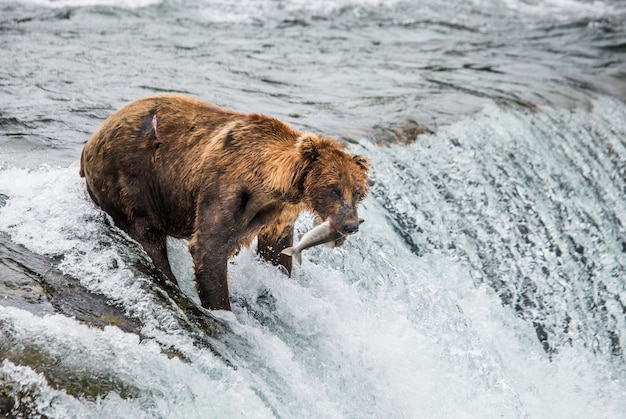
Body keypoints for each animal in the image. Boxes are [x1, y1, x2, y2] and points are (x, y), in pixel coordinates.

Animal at [80, 96, 368, 312]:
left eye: (358, 192)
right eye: (334, 189)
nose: (351, 225)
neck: (271, 182)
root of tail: (88, 145)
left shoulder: (279, 214)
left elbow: (275, 250)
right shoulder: (226, 189)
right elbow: (210, 247)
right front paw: (222, 308)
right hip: (128, 182)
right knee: (148, 239)